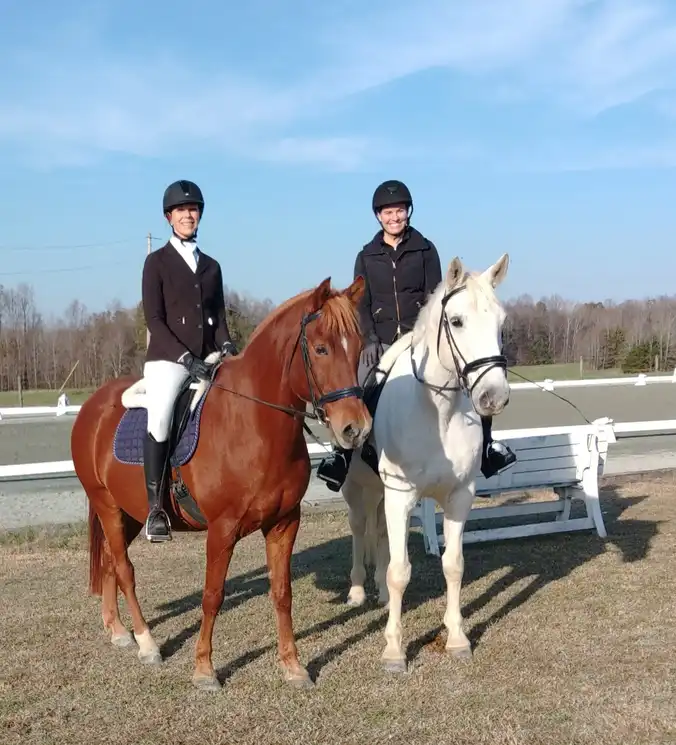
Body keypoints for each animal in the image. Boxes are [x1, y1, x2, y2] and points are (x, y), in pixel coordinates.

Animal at [71, 278, 372, 692]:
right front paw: (204, 669)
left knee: (108, 565)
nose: (355, 428)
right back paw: (146, 643)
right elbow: (212, 595)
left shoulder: (284, 524)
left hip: (127, 513)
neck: (254, 423)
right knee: (124, 568)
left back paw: (117, 630)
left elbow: (282, 593)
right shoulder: (222, 529)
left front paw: (293, 667)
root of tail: (94, 405)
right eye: (321, 348)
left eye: (358, 347)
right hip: (107, 506)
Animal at [340, 253, 510, 672]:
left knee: (381, 535)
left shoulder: (459, 495)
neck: (438, 413)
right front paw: (394, 650)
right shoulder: (401, 495)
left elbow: (453, 565)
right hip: (358, 489)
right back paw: (357, 590)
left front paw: (458, 639)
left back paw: (380, 593)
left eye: (501, 322)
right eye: (457, 321)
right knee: (359, 529)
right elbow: (400, 571)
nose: (494, 397)